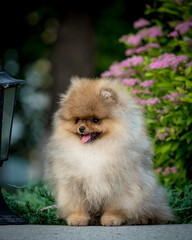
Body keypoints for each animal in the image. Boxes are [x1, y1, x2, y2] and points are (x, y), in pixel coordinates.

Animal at [45, 77, 174, 225]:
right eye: (77, 120)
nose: (81, 128)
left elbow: (115, 206)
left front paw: (112, 219)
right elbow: (77, 204)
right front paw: (77, 219)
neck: (94, 149)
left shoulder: (119, 184)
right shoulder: (74, 183)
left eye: (96, 120)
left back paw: (143, 218)